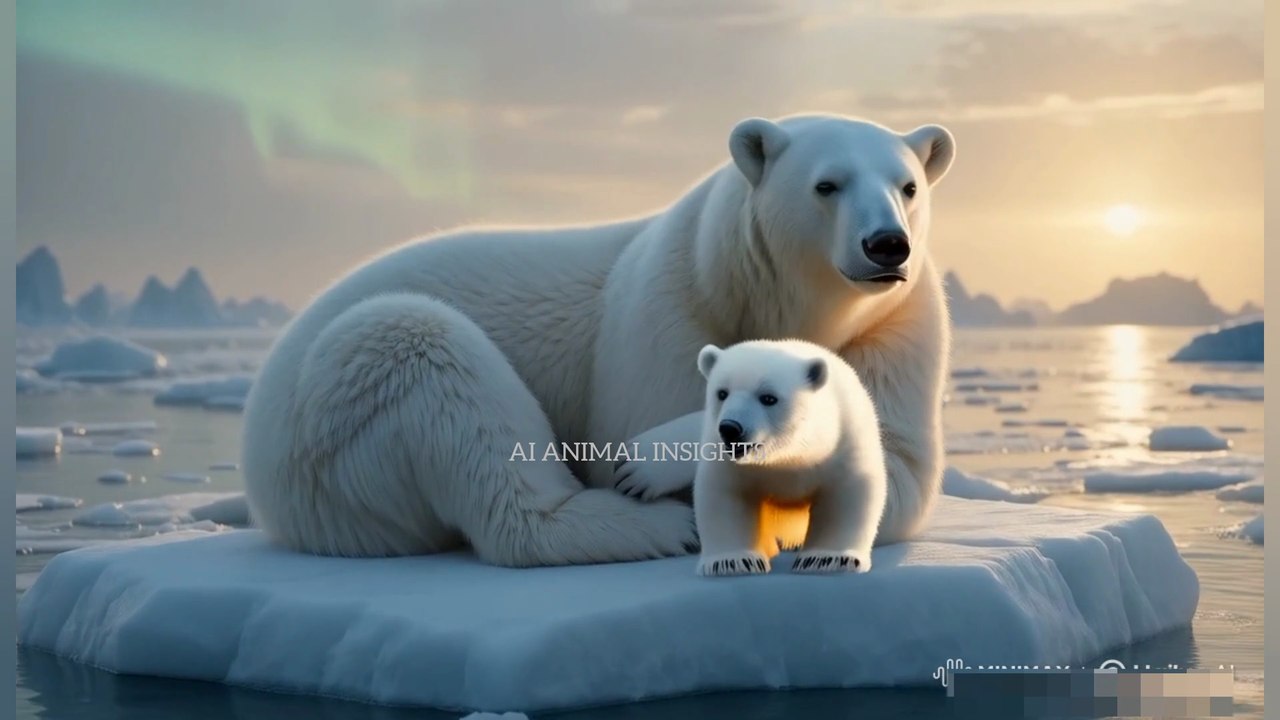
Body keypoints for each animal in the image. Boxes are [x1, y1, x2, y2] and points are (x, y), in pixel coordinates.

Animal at [691, 340, 888, 577]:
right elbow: (724, 494)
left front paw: (827, 558)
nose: (730, 429)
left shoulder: (845, 440)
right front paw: (731, 561)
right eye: (722, 393)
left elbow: (848, 492)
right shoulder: (727, 460)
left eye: (768, 398)